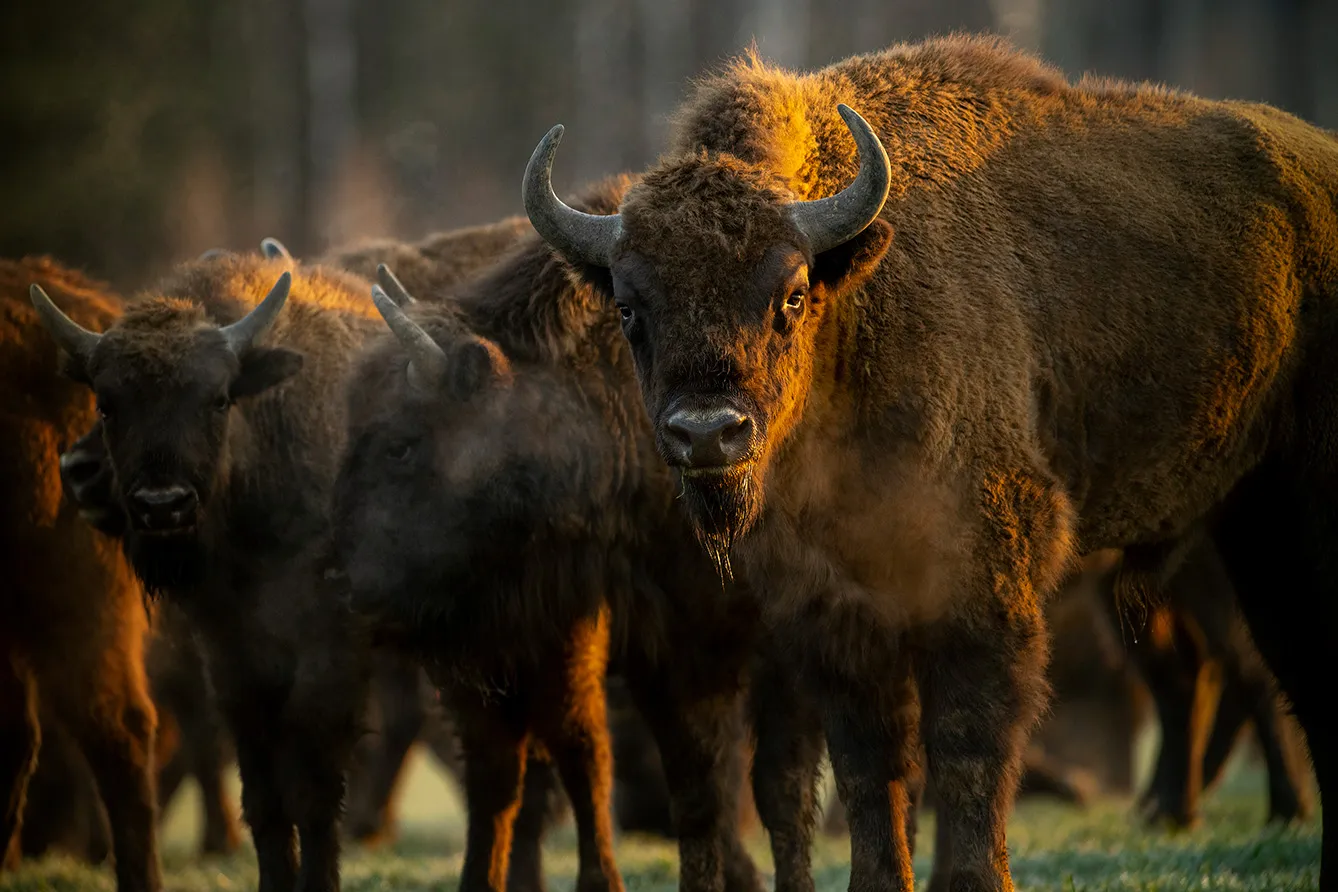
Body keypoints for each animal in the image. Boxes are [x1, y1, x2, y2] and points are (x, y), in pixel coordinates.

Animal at [524, 34, 1338, 891]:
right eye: (629, 308)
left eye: (791, 294)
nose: (708, 434)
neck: (856, 317)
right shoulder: (831, 614)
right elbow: (869, 765)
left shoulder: (980, 589)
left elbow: (967, 747)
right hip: (1250, 524)